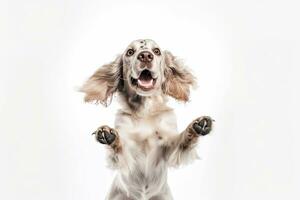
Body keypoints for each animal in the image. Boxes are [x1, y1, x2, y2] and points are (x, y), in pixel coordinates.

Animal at [80, 39, 213, 200]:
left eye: (156, 51)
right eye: (130, 52)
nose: (145, 56)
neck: (145, 111)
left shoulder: (167, 147)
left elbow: (182, 140)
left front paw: (196, 126)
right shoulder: (127, 152)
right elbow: (121, 148)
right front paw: (109, 136)